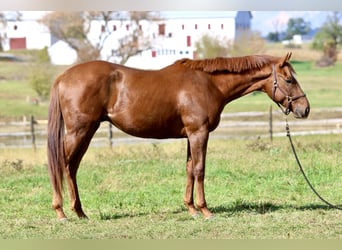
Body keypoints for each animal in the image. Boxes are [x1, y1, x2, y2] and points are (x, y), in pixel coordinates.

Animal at [47, 51, 310, 220]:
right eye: (289, 79)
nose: (304, 109)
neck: (208, 83)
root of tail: (63, 77)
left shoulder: (190, 136)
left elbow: (189, 169)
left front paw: (191, 209)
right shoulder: (198, 133)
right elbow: (200, 170)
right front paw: (205, 210)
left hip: (86, 132)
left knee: (71, 168)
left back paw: (80, 212)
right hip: (79, 131)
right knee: (62, 166)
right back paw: (61, 212)